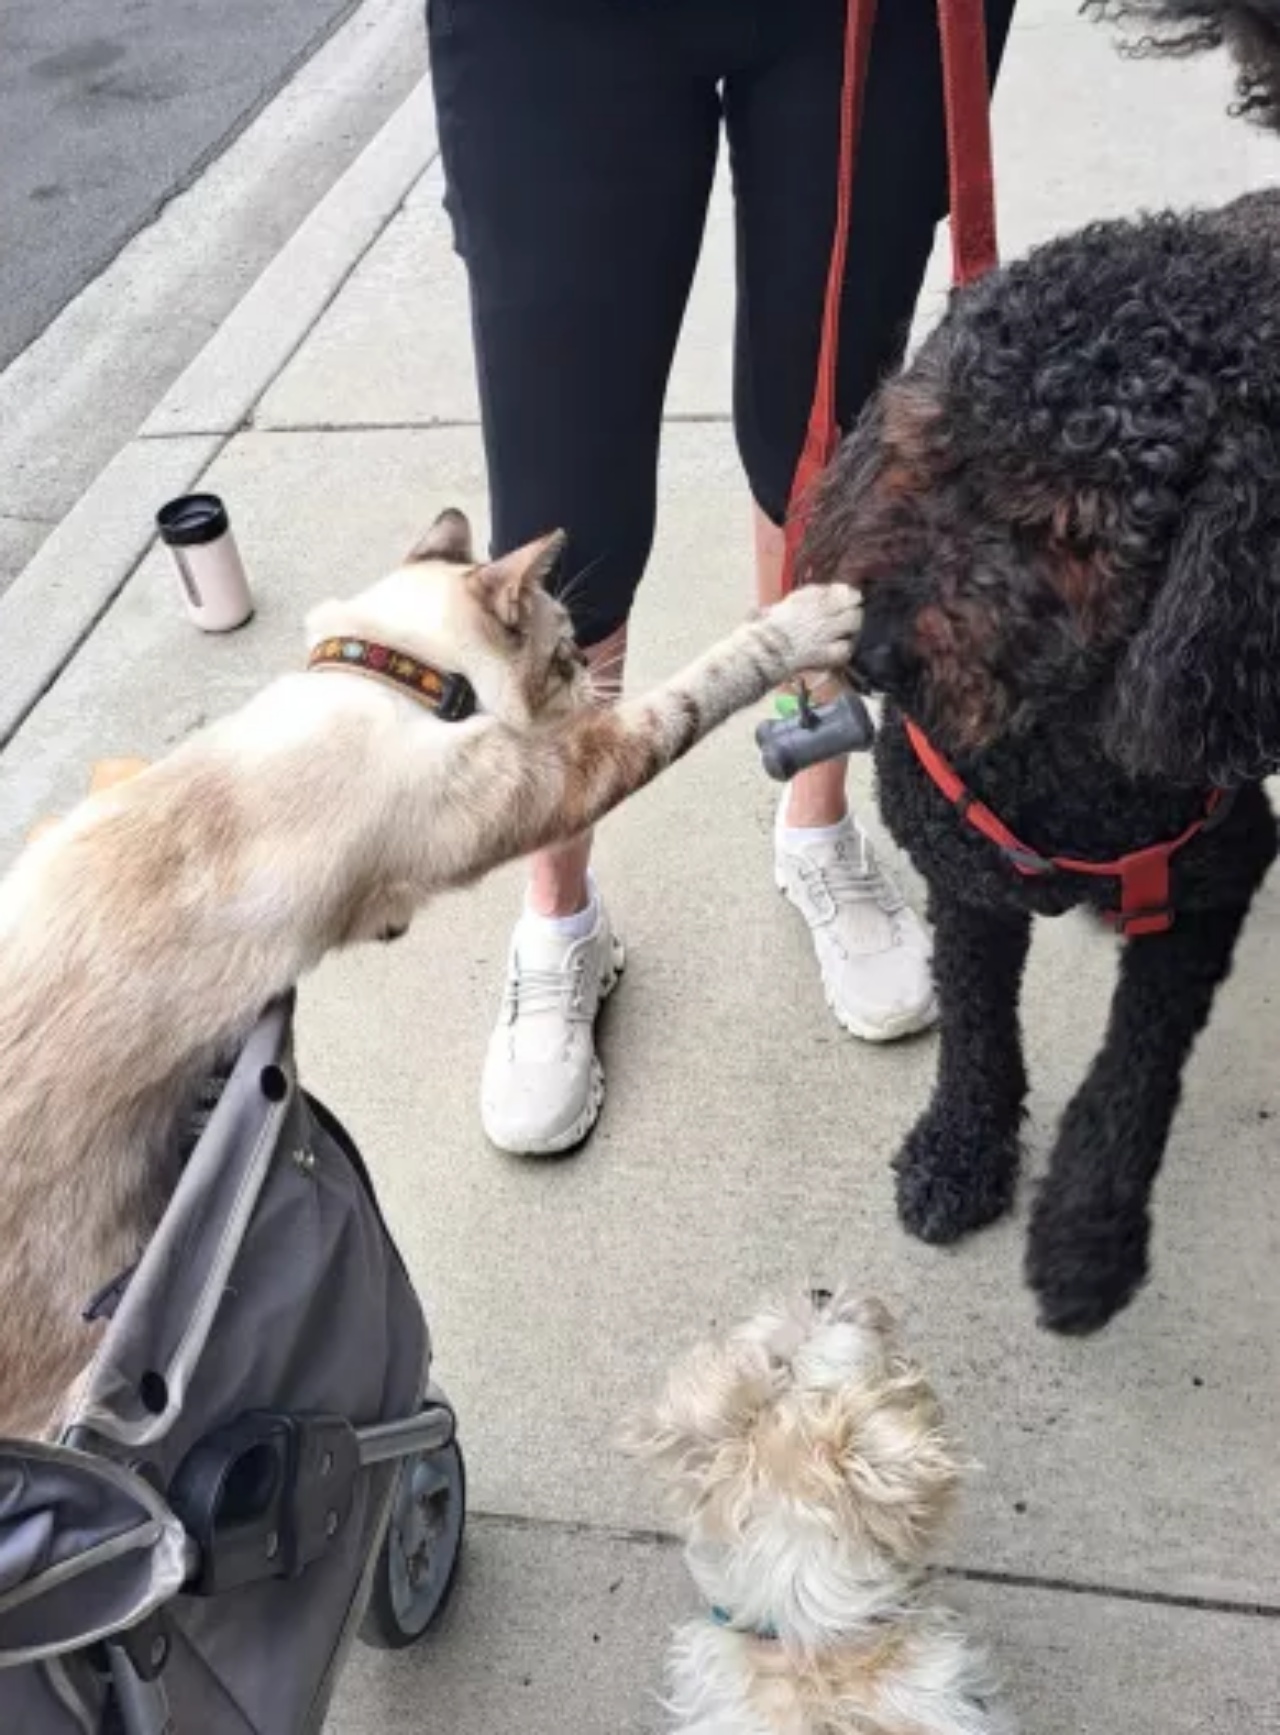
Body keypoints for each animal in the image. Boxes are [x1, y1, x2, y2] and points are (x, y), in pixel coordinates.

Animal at [0, 506, 856, 1443]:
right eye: (566, 651)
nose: (593, 686)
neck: (388, 673)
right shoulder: (556, 774)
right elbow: (699, 688)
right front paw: (812, 620)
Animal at [801, 0, 1276, 1332]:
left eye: (1070, 528)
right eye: (925, 447)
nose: (871, 651)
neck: (1056, 762)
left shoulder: (1206, 883)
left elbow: (1129, 1079)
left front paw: (1083, 1240)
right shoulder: (965, 881)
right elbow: (975, 1030)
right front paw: (958, 1156)